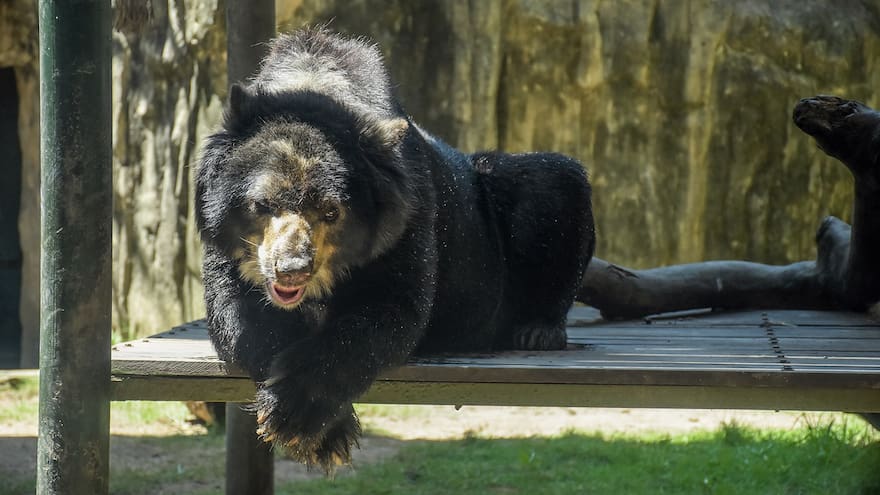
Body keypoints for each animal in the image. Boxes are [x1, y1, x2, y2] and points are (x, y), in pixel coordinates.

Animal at [196, 28, 595, 471]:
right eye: (262, 204)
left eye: (331, 210)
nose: (292, 269)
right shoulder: (223, 236)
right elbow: (239, 311)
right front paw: (321, 431)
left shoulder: (407, 211)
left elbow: (391, 308)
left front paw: (300, 416)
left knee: (551, 180)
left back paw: (536, 329)